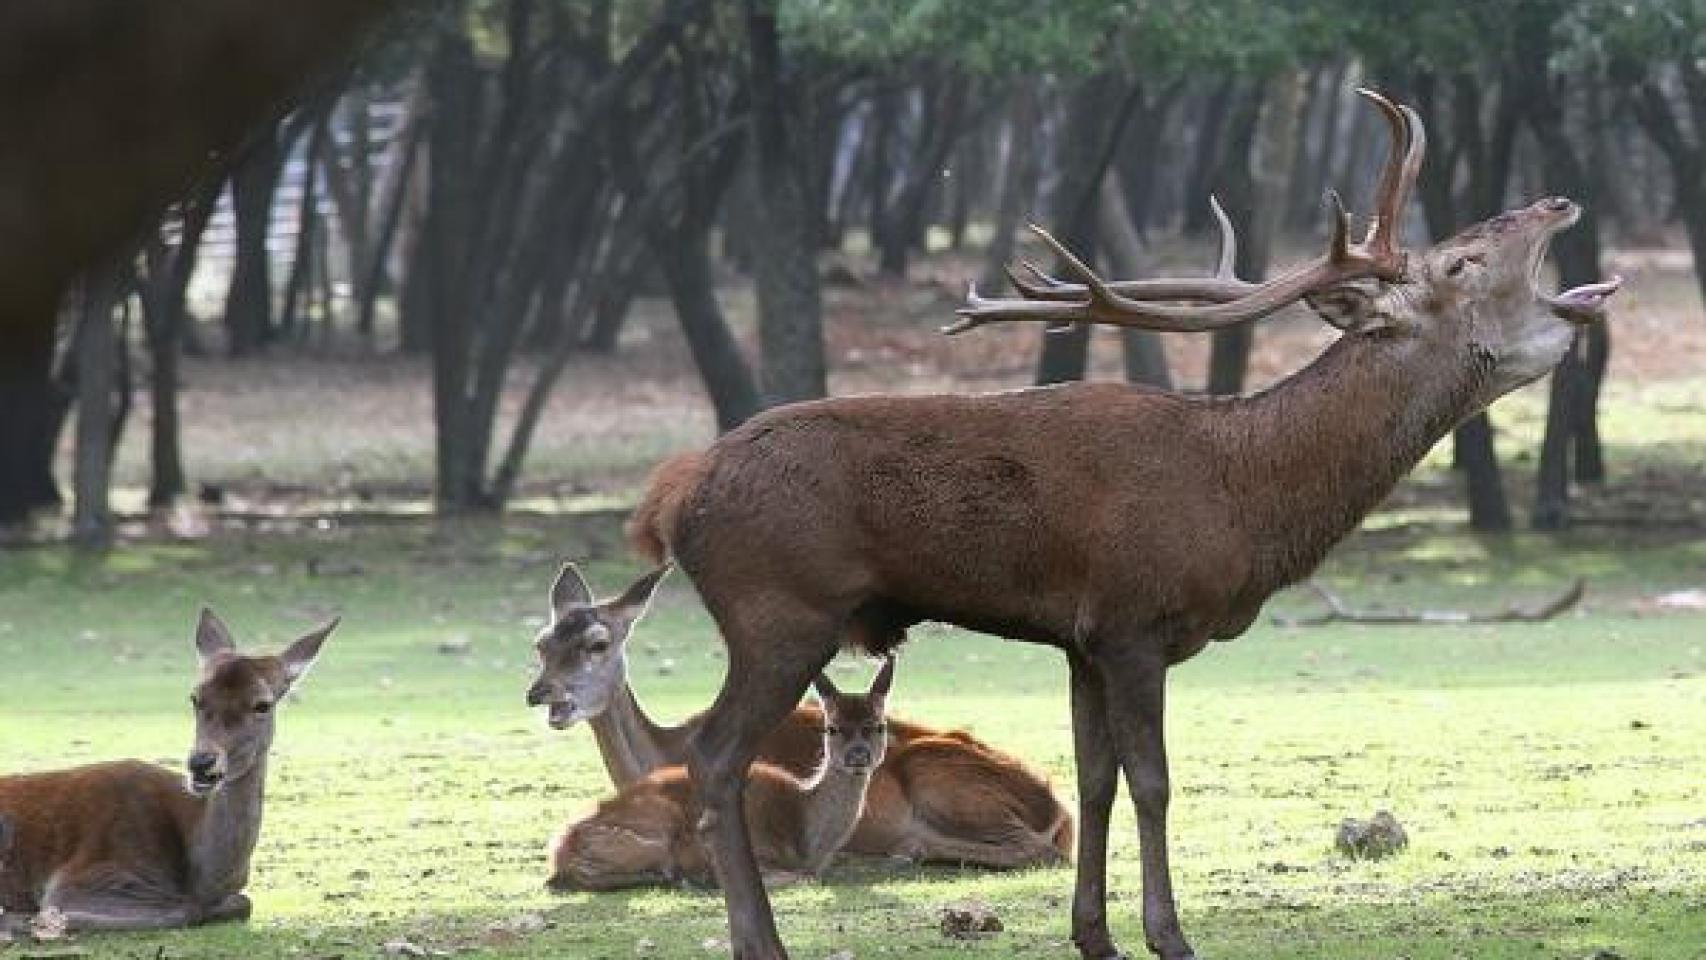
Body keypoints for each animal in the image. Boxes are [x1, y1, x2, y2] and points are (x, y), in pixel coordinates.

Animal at [0, 607, 336, 934]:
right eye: (195, 698)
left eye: (263, 704)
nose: (201, 762)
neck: (202, 877)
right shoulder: (83, 877)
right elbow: (187, 910)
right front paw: (41, 921)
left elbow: (243, 903)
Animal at [542, 654, 893, 893]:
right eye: (831, 728)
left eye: (879, 726)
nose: (857, 755)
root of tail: (561, 849)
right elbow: (803, 878)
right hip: (656, 830)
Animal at [627, 86, 1624, 954]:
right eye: (1461, 263)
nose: (1557, 198)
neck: (1244, 504)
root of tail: (672, 495)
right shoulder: (1136, 620)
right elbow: (1154, 782)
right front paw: (1170, 934)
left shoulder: (1081, 639)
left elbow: (1095, 780)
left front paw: (1093, 935)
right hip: (780, 613)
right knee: (713, 754)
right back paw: (760, 939)